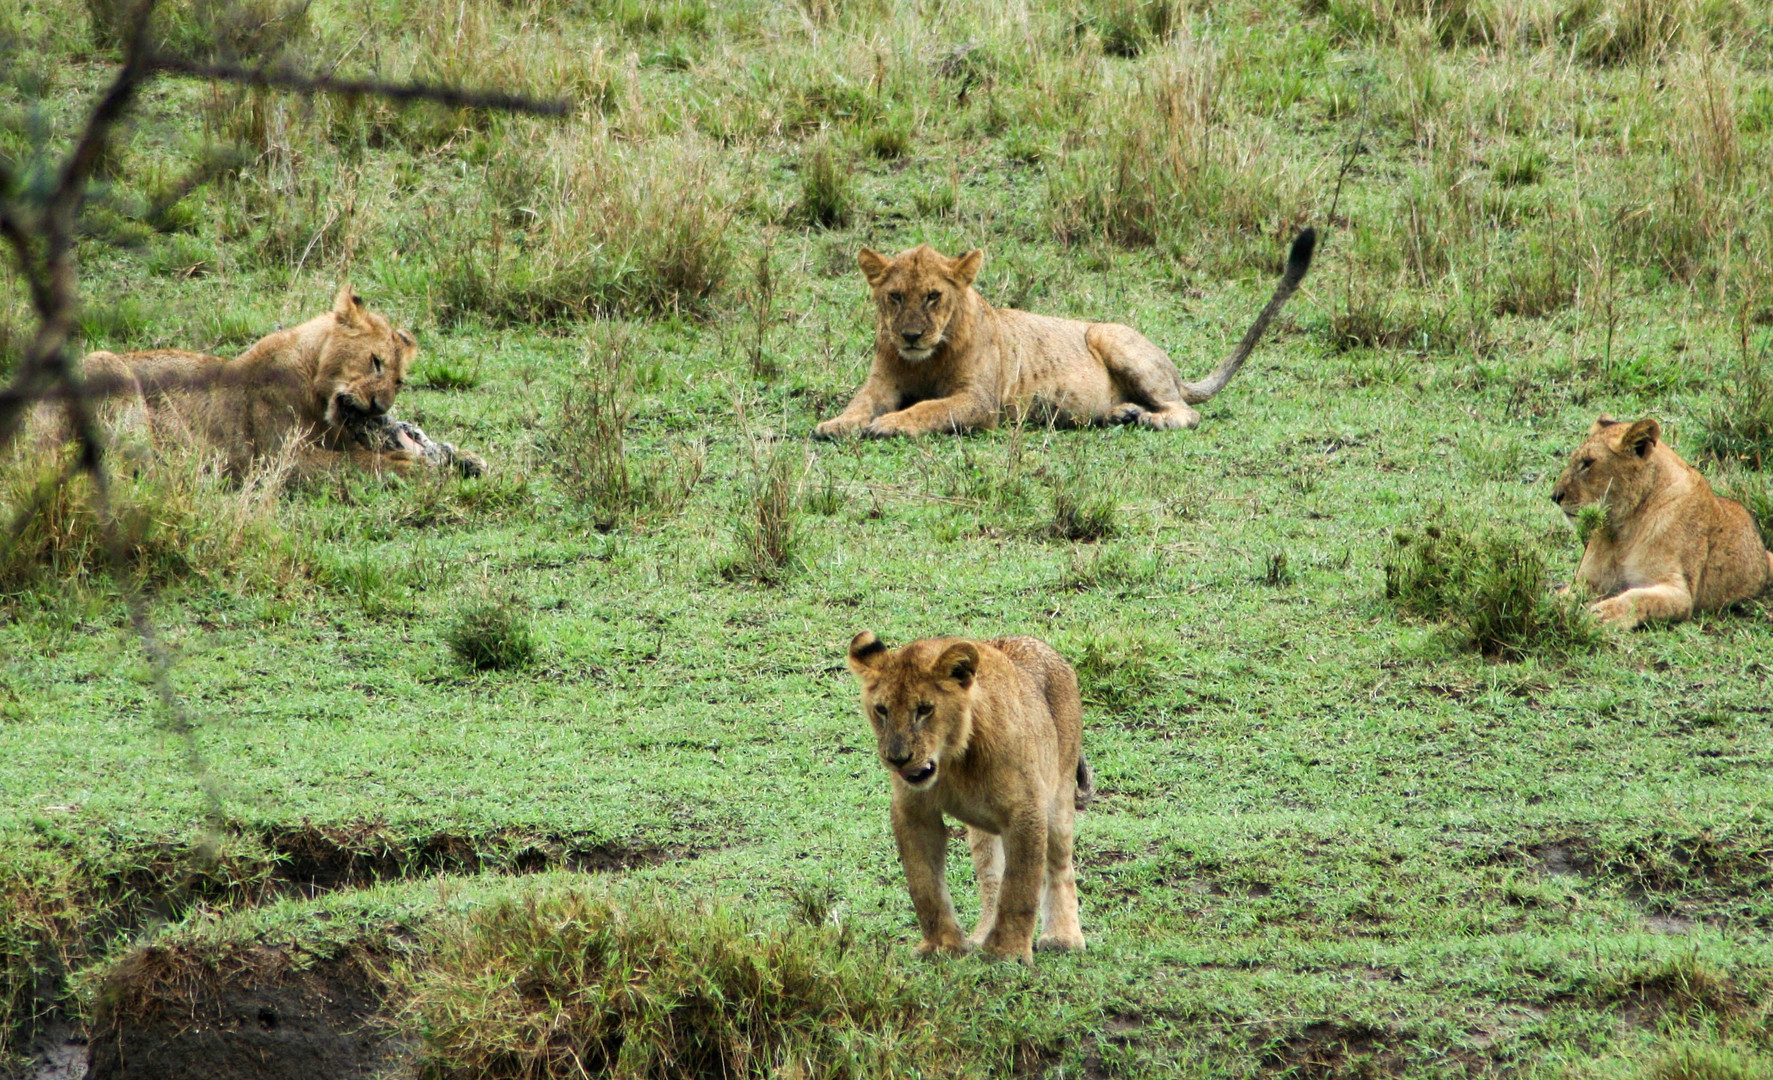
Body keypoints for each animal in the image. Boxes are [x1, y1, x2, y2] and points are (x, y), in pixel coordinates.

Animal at [64, 281, 485, 475]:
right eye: (375, 361)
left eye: (398, 381)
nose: (381, 408)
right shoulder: (282, 460)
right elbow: (358, 464)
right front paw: (411, 465)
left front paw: (465, 458)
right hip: (104, 364)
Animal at [815, 228, 1319, 438]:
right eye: (896, 296)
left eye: (934, 296)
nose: (911, 336)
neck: (926, 358)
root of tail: (1176, 370)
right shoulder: (882, 383)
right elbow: (859, 404)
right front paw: (835, 425)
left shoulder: (979, 402)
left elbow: (931, 409)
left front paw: (890, 424)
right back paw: (1121, 414)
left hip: (1110, 337)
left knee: (1186, 412)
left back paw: (1150, 418)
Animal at [843, 631, 1092, 957]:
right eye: (882, 710)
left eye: (925, 709)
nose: (897, 758)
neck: (952, 762)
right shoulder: (914, 812)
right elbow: (925, 884)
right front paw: (942, 945)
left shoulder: (1026, 809)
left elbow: (1021, 885)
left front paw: (1008, 952)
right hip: (983, 831)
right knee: (991, 880)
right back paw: (982, 935)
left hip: (1059, 792)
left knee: (1060, 863)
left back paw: (1063, 937)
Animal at [1553, 416, 1773, 627]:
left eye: (1587, 463)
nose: (1554, 496)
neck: (1621, 528)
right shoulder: (1588, 581)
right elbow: (1564, 596)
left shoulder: (1679, 591)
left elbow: (1637, 598)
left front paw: (1604, 613)